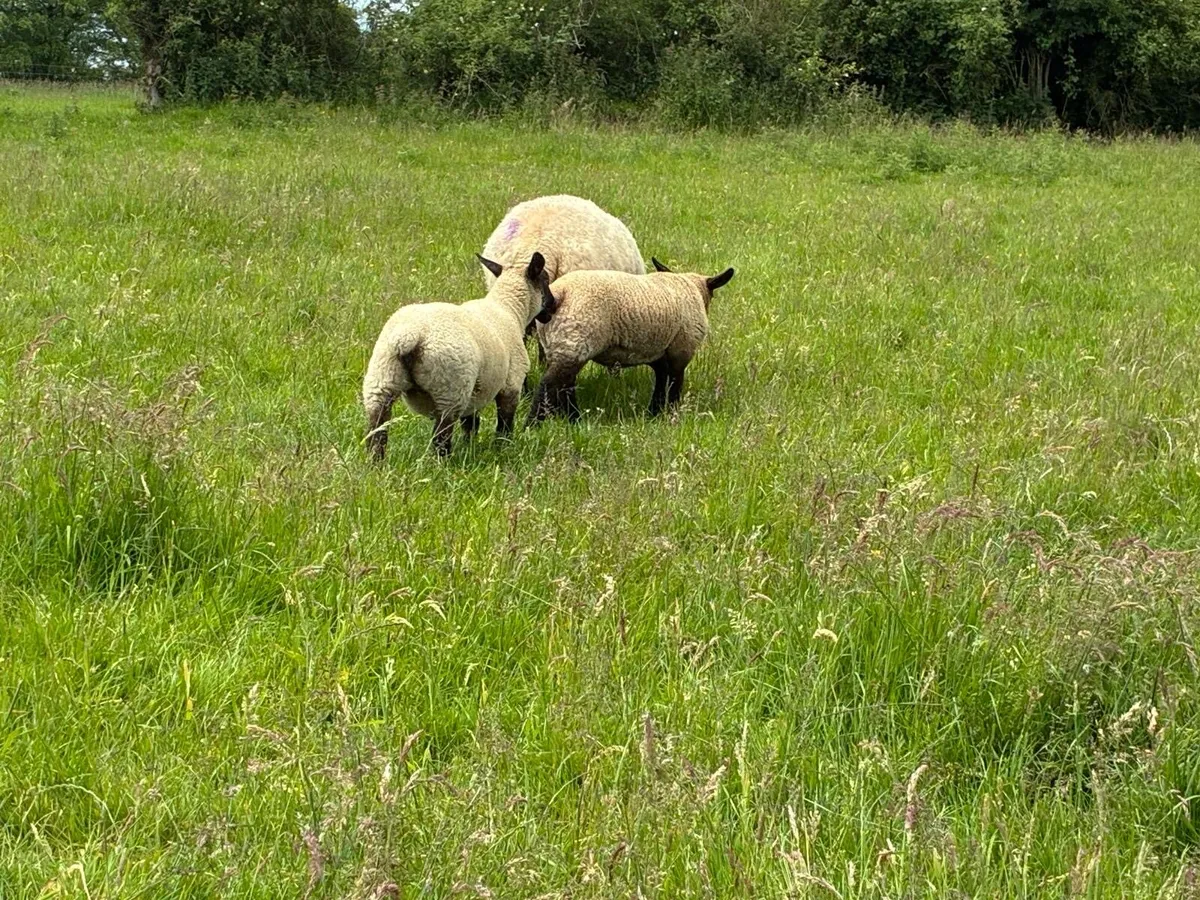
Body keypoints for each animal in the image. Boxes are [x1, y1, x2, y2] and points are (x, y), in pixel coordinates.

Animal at [362, 252, 554, 460]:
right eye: (545, 279)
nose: (554, 305)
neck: (509, 308)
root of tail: (410, 336)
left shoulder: (474, 391)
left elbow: (471, 423)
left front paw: (469, 446)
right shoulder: (511, 383)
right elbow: (504, 423)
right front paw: (503, 447)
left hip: (381, 382)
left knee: (376, 436)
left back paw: (376, 465)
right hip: (450, 389)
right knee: (441, 439)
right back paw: (442, 464)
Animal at [528, 257, 735, 424]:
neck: (692, 288)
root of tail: (559, 294)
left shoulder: (659, 354)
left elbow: (661, 384)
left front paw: (655, 413)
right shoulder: (681, 351)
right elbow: (674, 385)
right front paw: (672, 414)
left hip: (561, 345)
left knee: (565, 387)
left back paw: (573, 420)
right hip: (574, 343)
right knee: (548, 386)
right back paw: (533, 425)